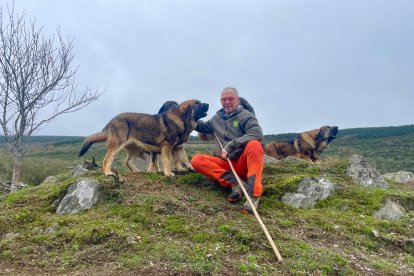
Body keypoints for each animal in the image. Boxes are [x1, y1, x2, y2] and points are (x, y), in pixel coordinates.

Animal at [80, 99, 210, 177]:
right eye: (196, 103)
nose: (208, 104)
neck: (182, 119)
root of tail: (111, 120)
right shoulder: (167, 146)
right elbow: (167, 160)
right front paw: (168, 173)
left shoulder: (178, 147)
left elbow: (184, 159)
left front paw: (190, 168)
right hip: (117, 144)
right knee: (107, 159)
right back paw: (108, 173)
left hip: (135, 148)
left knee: (129, 161)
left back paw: (138, 172)